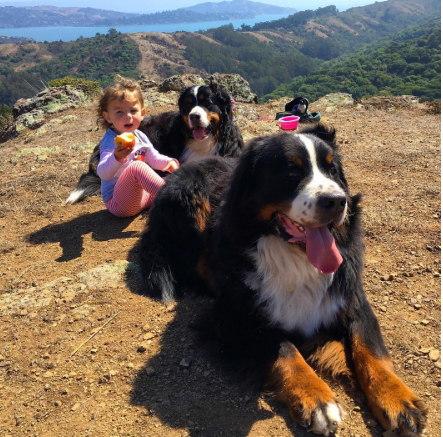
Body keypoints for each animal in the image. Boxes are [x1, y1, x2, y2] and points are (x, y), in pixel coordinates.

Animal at [138, 123, 426, 436]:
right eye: (291, 172)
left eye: (333, 171)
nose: (337, 201)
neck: (295, 259)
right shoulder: (233, 317)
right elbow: (284, 350)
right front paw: (317, 399)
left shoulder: (352, 299)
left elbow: (370, 350)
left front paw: (398, 400)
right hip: (192, 203)